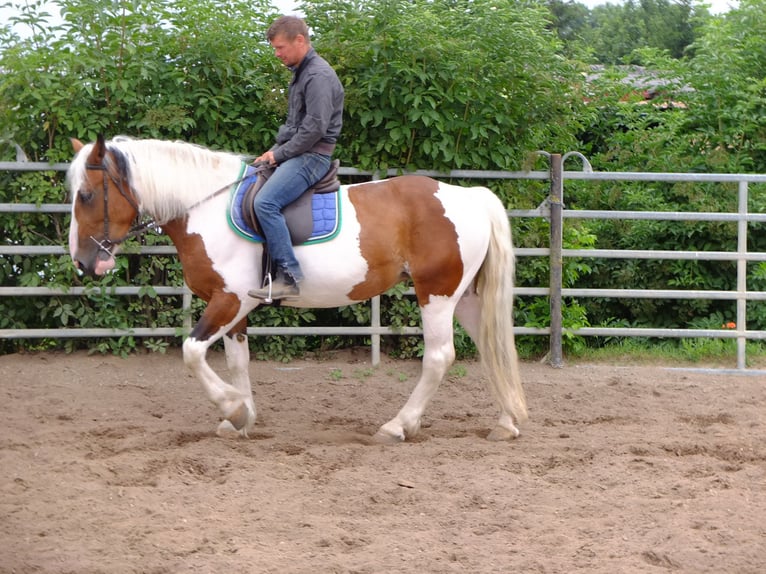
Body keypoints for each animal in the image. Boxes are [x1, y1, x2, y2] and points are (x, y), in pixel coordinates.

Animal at [67, 137, 528, 444]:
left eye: (86, 195)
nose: (84, 262)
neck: (207, 207)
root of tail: (470, 196)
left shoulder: (229, 300)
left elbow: (192, 352)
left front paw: (233, 409)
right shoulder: (237, 309)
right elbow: (237, 362)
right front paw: (242, 416)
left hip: (436, 294)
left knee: (438, 357)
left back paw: (398, 425)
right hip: (463, 297)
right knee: (489, 346)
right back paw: (505, 422)